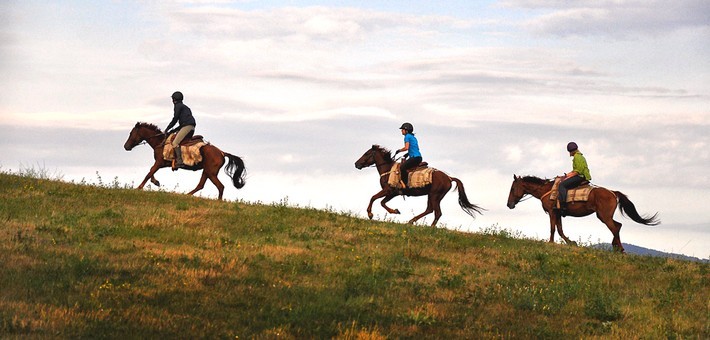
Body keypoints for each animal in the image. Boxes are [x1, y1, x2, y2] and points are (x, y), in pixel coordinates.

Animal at [354, 145, 484, 227]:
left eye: (366, 153)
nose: (356, 164)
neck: (388, 170)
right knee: (430, 209)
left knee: (437, 212)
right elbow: (382, 202)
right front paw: (395, 211)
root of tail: (449, 178)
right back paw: (411, 221)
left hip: (435, 195)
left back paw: (430, 227)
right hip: (432, 195)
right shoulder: (393, 193)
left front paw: (370, 214)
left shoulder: (388, 190)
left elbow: (373, 198)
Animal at [506, 175, 660, 252]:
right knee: (618, 225)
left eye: (513, 188)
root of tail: (612, 192)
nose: (509, 204)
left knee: (614, 227)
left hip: (604, 216)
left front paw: (550, 243)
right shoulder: (558, 213)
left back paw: (620, 249)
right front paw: (572, 242)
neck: (547, 190)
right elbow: (560, 229)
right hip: (603, 216)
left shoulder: (551, 212)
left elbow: (553, 229)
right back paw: (615, 246)